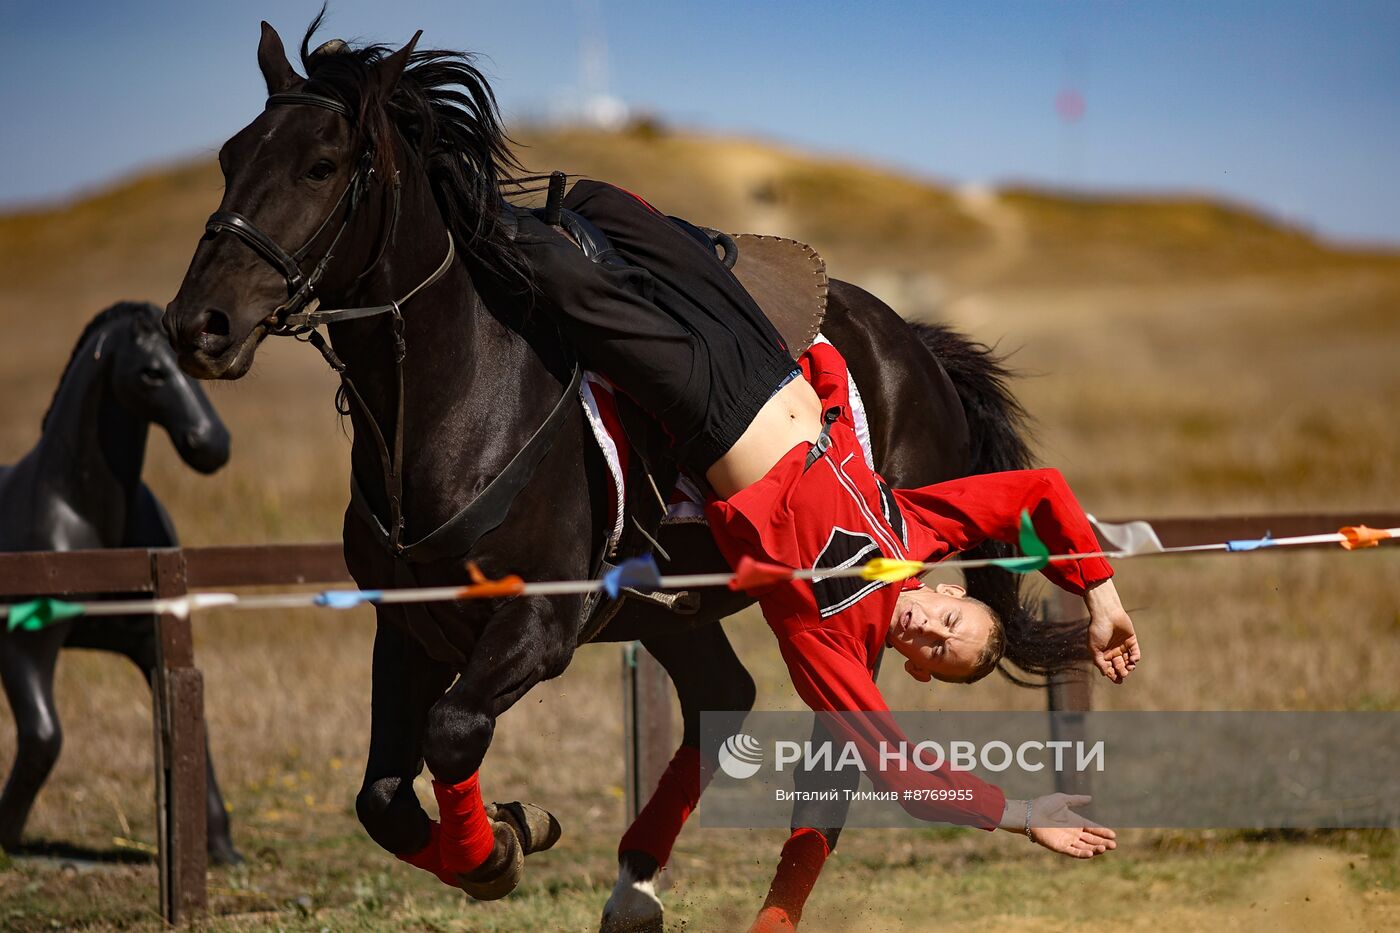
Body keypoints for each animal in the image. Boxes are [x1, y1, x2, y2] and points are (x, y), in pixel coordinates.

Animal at [0, 301, 242, 862]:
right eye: (152, 373)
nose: (212, 445)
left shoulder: (152, 642)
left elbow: (190, 729)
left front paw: (221, 848)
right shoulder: (23, 646)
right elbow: (43, 737)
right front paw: (6, 837)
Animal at [158, 21, 1047, 924]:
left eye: (322, 165)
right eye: (232, 155)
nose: (199, 324)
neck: (461, 400)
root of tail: (917, 347)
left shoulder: (541, 625)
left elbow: (452, 731)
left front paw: (499, 847)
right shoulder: (407, 626)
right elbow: (382, 799)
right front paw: (502, 833)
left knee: (820, 757)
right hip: (675, 604)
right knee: (720, 696)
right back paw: (634, 881)